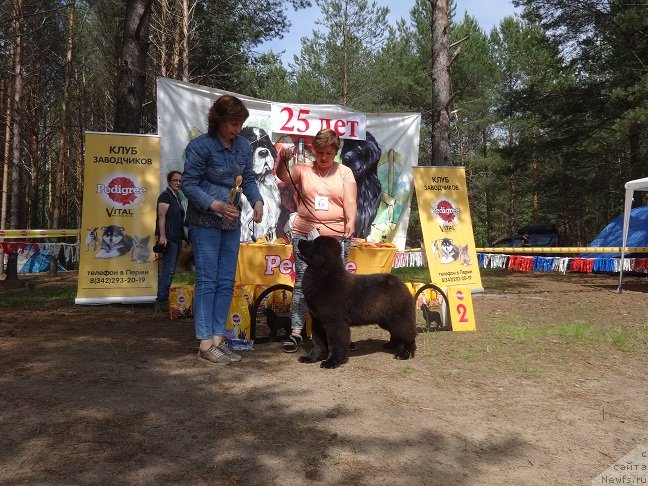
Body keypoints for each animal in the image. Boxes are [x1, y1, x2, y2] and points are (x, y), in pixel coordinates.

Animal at [298, 235, 418, 368]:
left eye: (313, 243)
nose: (300, 240)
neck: (323, 274)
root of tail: (400, 282)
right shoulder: (317, 321)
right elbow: (317, 343)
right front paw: (311, 358)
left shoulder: (335, 322)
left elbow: (335, 344)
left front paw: (332, 362)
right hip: (386, 320)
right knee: (396, 334)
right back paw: (391, 345)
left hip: (398, 318)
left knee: (408, 335)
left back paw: (405, 354)